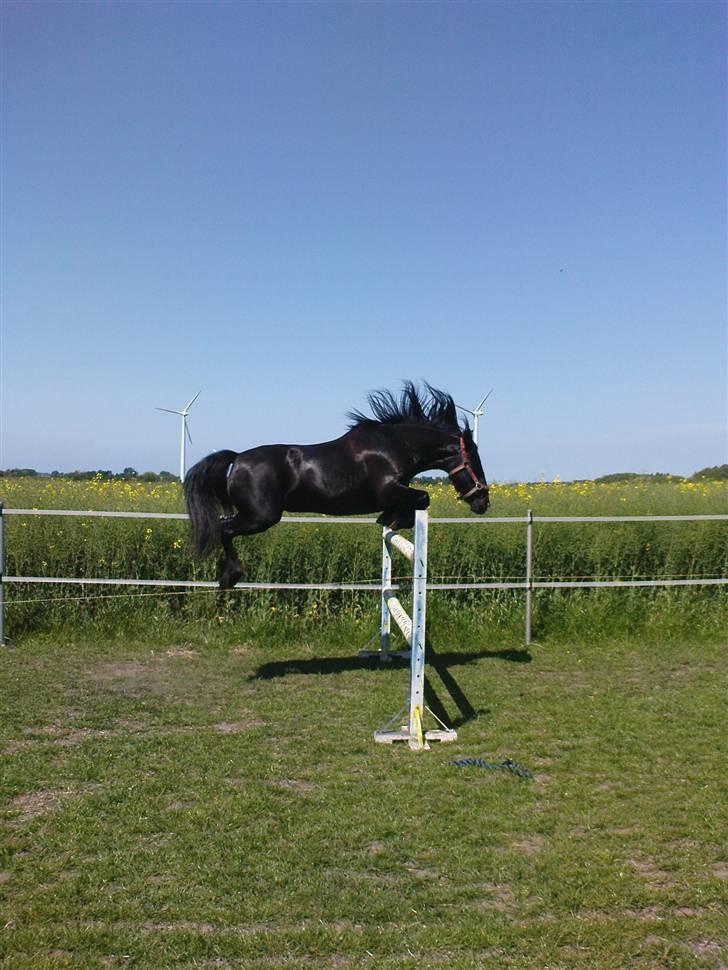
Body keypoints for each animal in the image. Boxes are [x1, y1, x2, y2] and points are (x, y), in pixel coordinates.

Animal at [184, 382, 490, 589]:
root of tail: (237, 458)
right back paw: (229, 576)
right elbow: (423, 498)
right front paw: (392, 519)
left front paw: (388, 519)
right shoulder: (389, 489)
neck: (392, 447)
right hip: (260, 517)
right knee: (224, 530)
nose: (483, 502)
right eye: (474, 460)